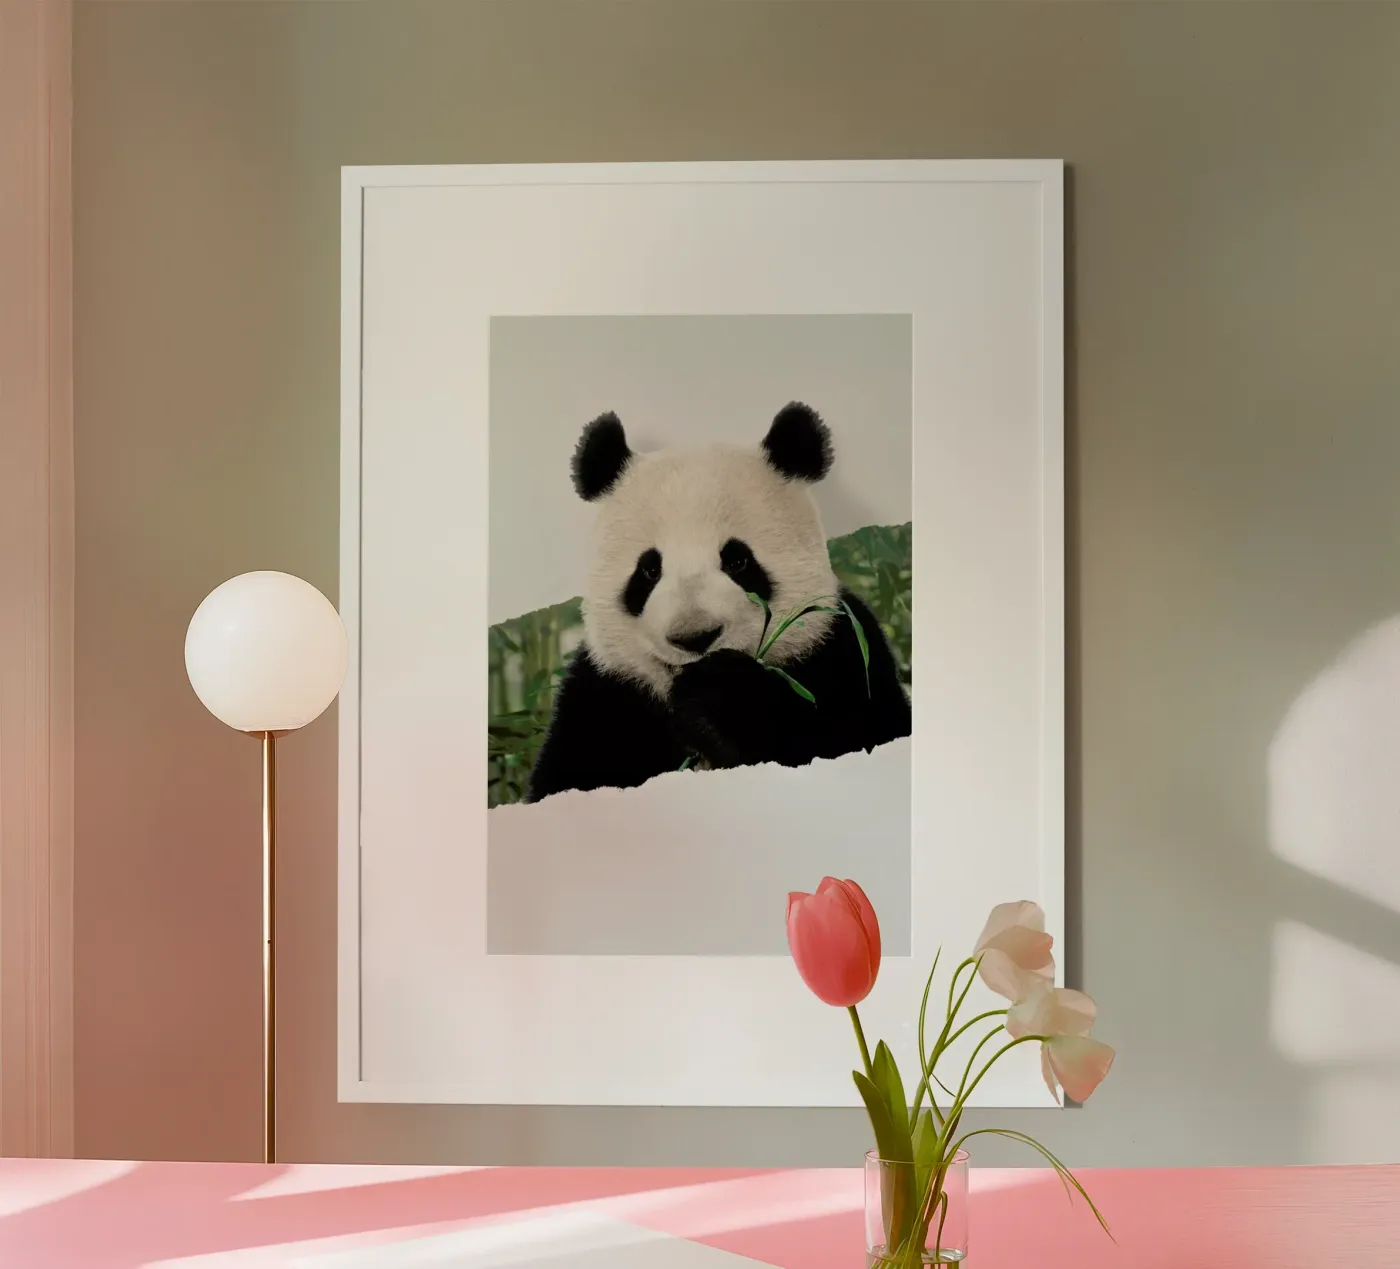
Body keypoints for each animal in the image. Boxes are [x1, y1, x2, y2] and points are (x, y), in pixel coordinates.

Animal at [525, 402, 911, 803]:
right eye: (649, 570)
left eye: (737, 561)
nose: (694, 637)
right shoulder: (604, 695)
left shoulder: (841, 649)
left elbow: (857, 733)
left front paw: (722, 696)